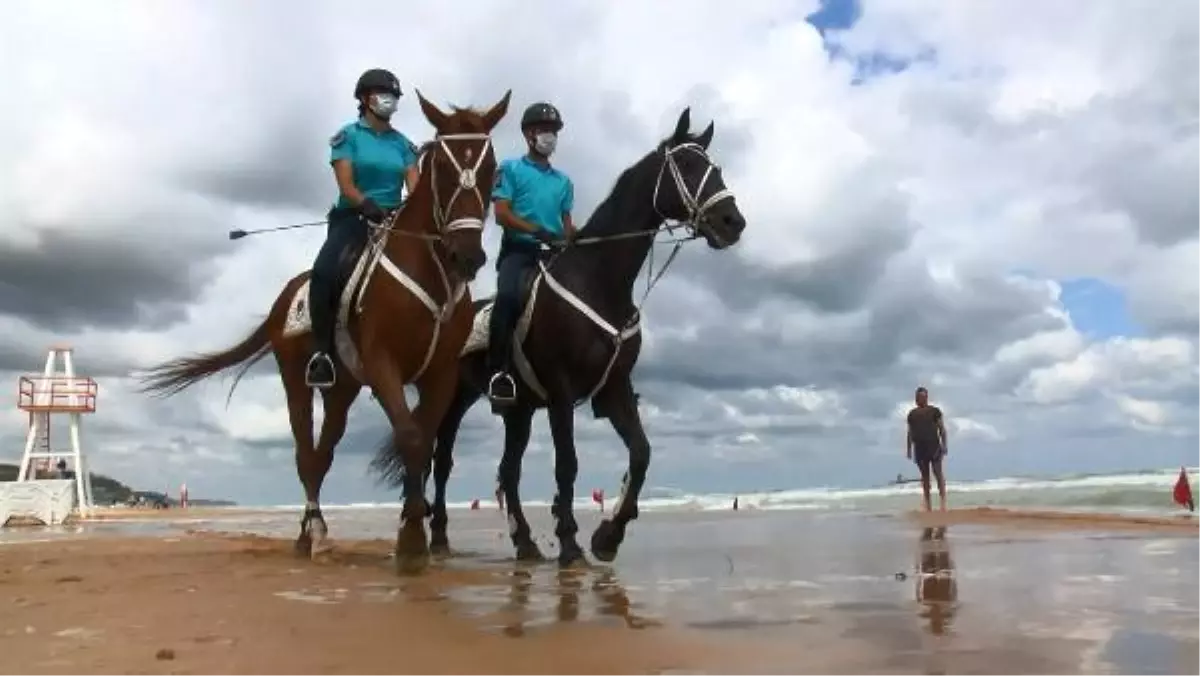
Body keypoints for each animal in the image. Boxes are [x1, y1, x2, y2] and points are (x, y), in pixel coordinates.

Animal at [136, 90, 511, 573]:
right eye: (443, 171)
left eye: (491, 170)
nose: (467, 256)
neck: (427, 270)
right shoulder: (383, 364)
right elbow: (410, 438)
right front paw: (410, 538)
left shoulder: (442, 375)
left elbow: (423, 444)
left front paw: (416, 531)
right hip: (296, 379)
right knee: (306, 454)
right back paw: (313, 534)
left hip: (344, 387)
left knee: (325, 450)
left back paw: (308, 531)